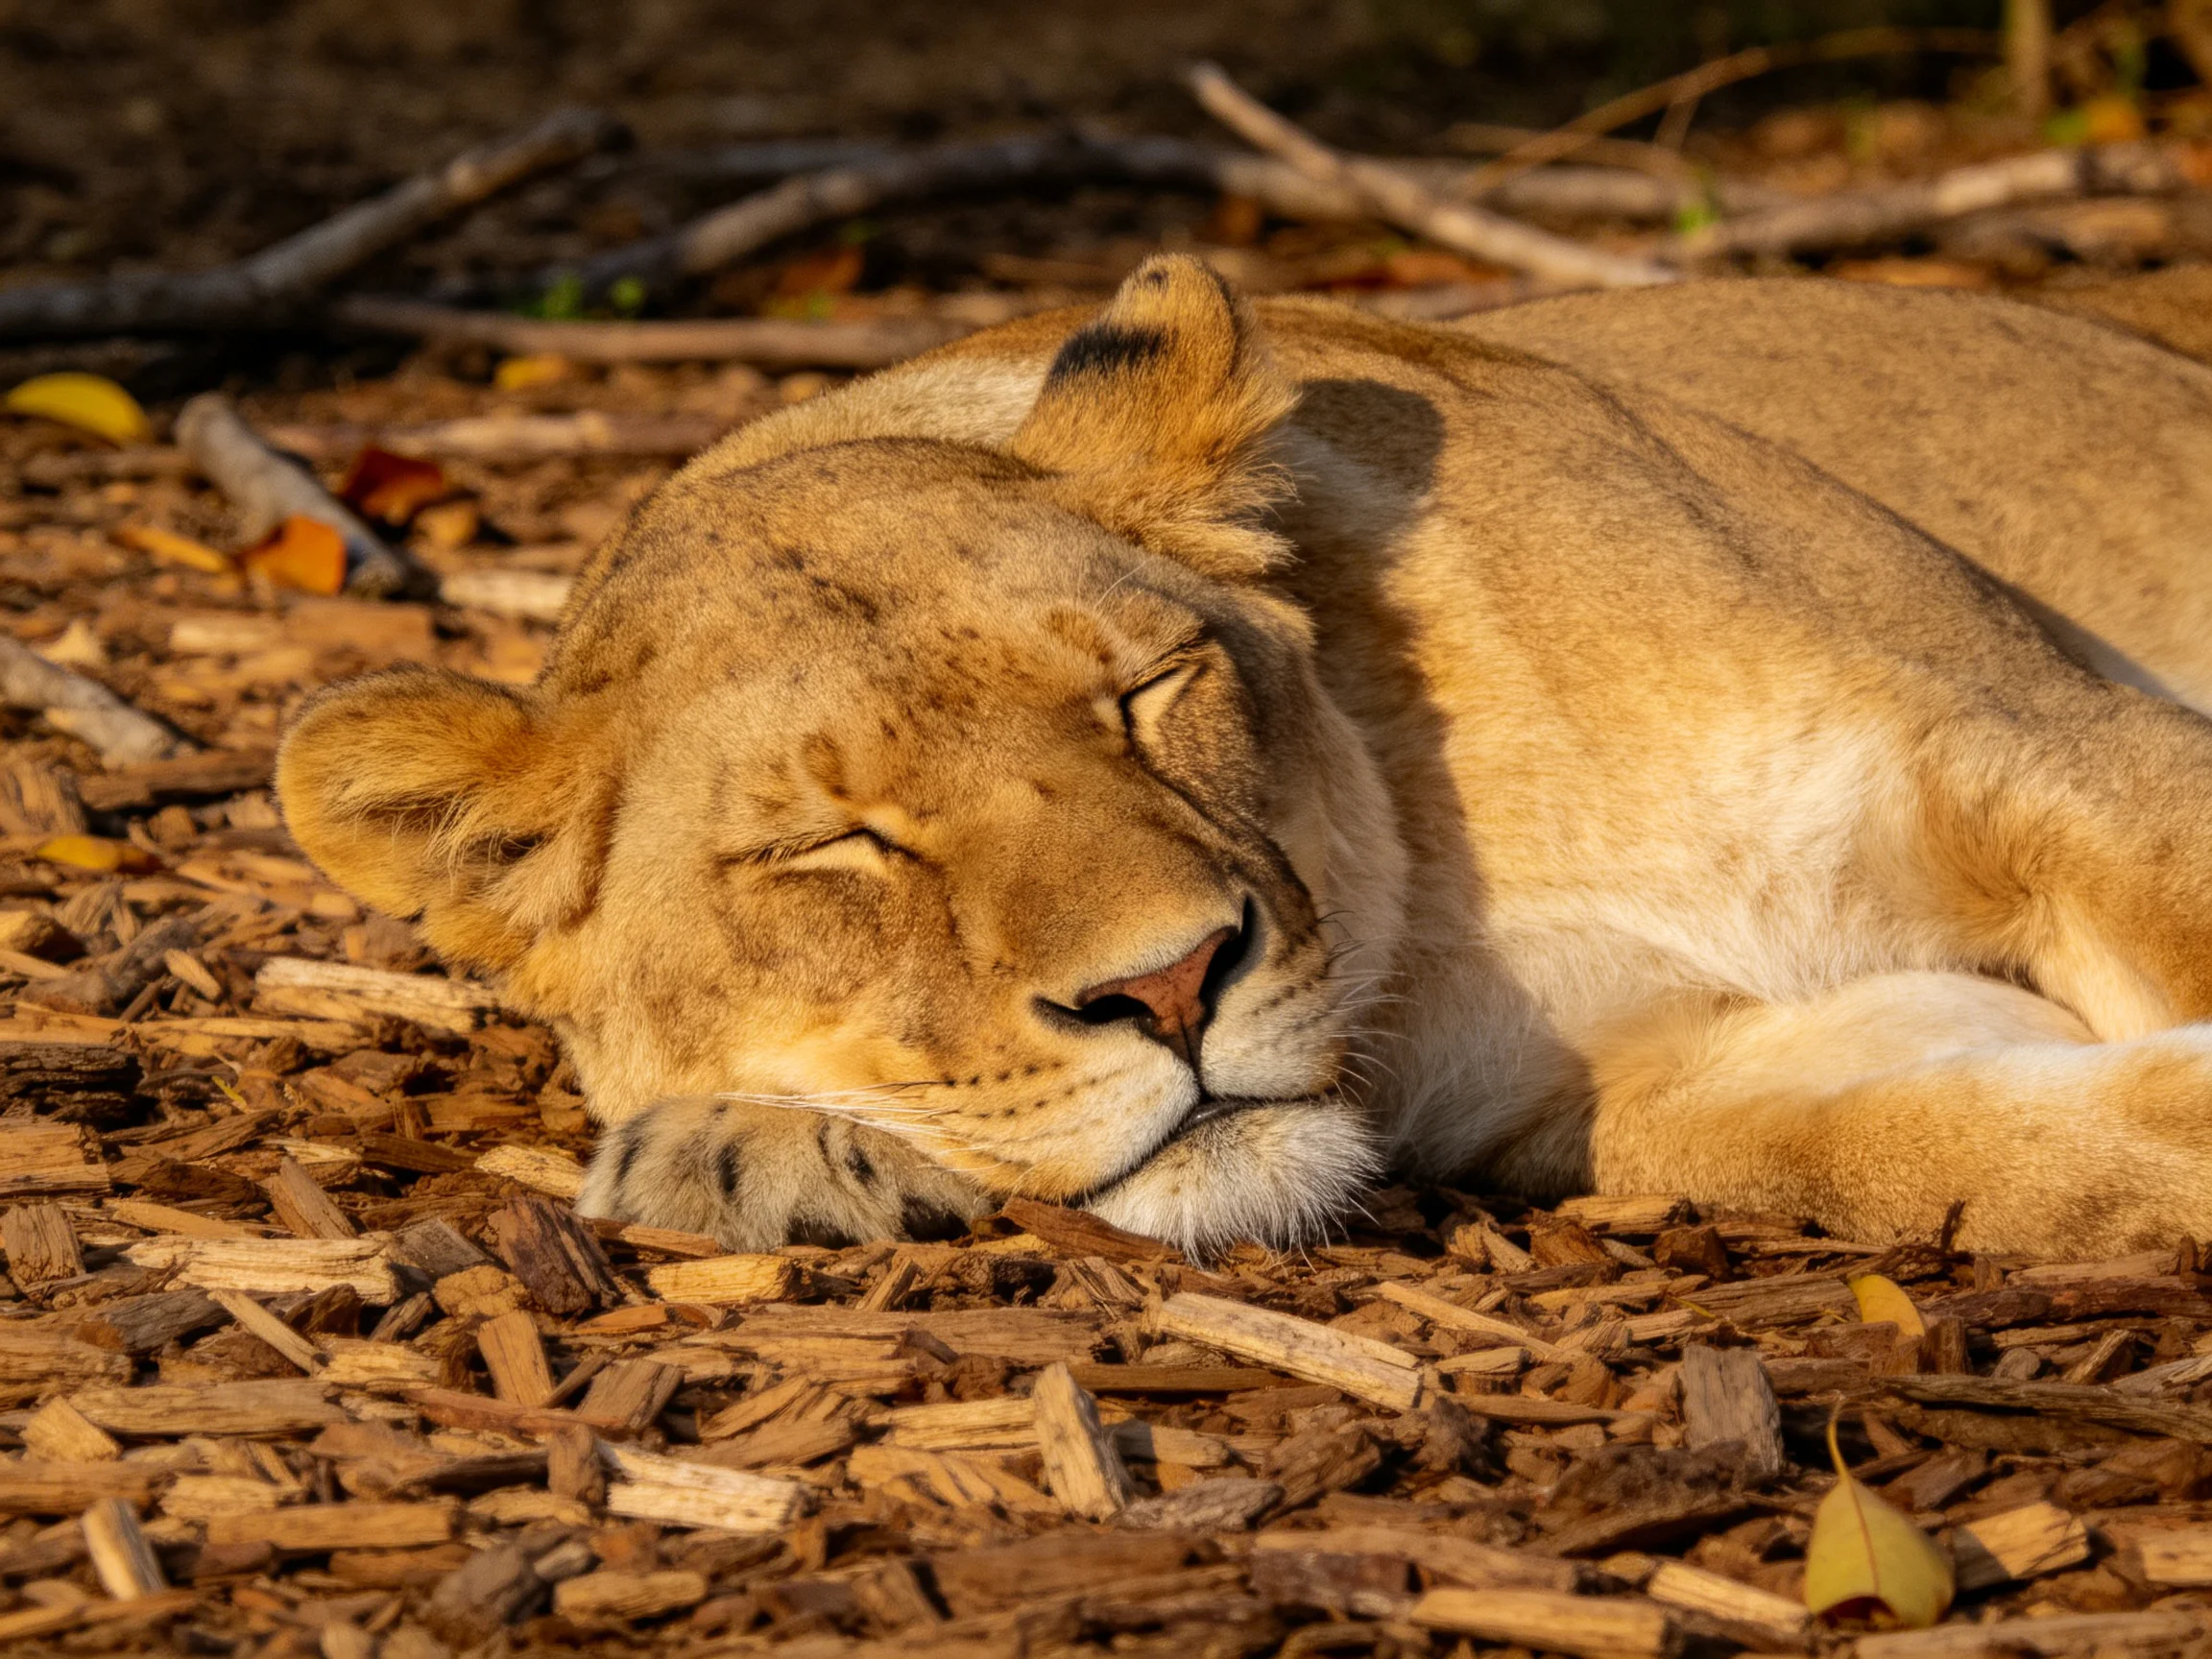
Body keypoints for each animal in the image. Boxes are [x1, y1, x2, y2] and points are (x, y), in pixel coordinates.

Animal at [277, 255, 2212, 1259]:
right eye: (838, 847)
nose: (1167, 986)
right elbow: (1963, 1149)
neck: (1453, 875)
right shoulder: (1647, 1077)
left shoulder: (2051, 747)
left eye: (1145, 690)